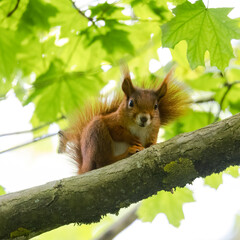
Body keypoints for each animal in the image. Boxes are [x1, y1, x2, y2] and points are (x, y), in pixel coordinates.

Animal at [58, 66, 189, 173]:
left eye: (156, 106)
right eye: (131, 103)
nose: (144, 118)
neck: (138, 127)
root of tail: (84, 167)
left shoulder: (153, 132)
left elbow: (151, 143)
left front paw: (151, 145)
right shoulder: (112, 121)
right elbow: (116, 131)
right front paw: (131, 138)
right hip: (97, 135)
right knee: (103, 162)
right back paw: (128, 152)